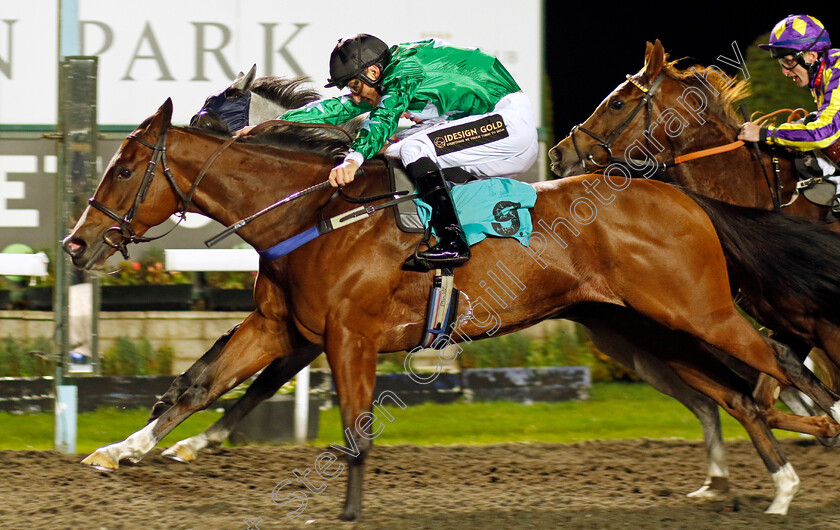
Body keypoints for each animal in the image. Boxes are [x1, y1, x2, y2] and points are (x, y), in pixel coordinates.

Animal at [60, 97, 840, 512]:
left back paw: (815, 440)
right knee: (737, 393)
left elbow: (353, 429)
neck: (311, 213)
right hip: (645, 328)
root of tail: (682, 196)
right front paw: (119, 451)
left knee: (776, 361)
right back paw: (780, 479)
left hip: (699, 311)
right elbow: (195, 385)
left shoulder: (347, 335)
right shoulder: (279, 326)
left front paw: (345, 513)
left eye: (124, 167)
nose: (75, 243)